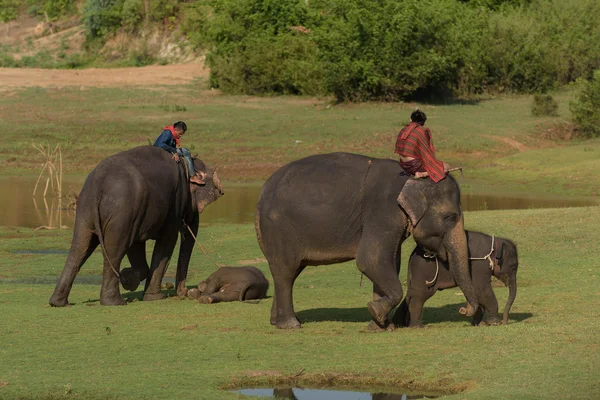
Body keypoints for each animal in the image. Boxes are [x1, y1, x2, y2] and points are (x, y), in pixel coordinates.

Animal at [48, 146, 223, 306]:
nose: (186, 293)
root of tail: (98, 185)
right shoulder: (173, 206)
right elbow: (166, 243)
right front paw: (152, 296)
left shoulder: (140, 215)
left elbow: (137, 244)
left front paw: (129, 278)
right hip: (122, 212)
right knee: (115, 250)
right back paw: (114, 302)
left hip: (86, 211)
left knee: (79, 247)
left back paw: (58, 302)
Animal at [255, 152, 480, 330]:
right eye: (450, 217)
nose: (463, 310)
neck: (415, 177)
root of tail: (261, 195)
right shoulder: (383, 212)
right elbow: (370, 261)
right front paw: (375, 312)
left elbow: (390, 263)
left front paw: (380, 326)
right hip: (279, 229)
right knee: (286, 271)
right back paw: (290, 325)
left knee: (289, 273)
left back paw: (276, 321)